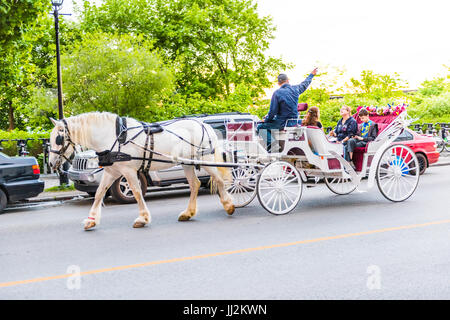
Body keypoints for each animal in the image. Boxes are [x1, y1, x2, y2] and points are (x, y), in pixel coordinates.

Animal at [47, 112, 234, 230]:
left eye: (58, 138)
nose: (51, 163)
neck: (114, 137)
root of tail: (203, 125)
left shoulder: (128, 171)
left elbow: (136, 192)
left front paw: (143, 218)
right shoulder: (112, 172)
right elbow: (99, 193)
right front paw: (91, 220)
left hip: (206, 160)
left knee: (219, 180)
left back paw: (228, 205)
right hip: (187, 162)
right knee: (195, 184)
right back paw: (188, 213)